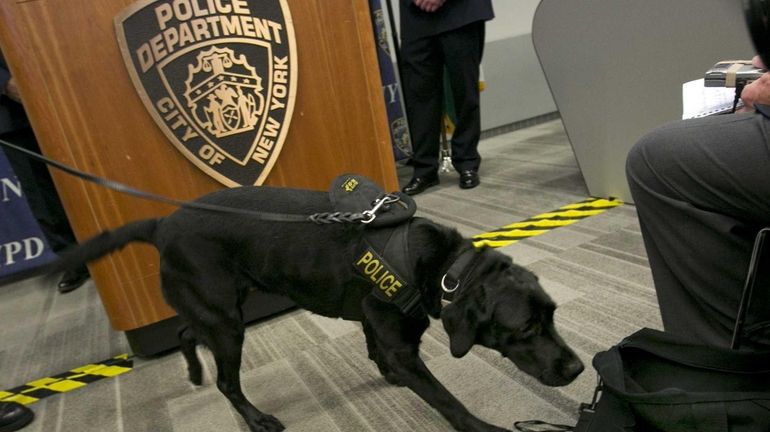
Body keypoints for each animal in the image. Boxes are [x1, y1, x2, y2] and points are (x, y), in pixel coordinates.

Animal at [55, 177, 584, 430]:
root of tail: (162, 224)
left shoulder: (377, 322)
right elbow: (444, 399)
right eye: (526, 330)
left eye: (554, 316)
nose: (578, 368)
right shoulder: (403, 345)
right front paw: (482, 427)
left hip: (216, 306)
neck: (441, 268)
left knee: (186, 331)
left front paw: (387, 376)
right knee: (227, 381)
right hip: (227, 323)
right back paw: (256, 419)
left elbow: (376, 349)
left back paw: (193, 371)